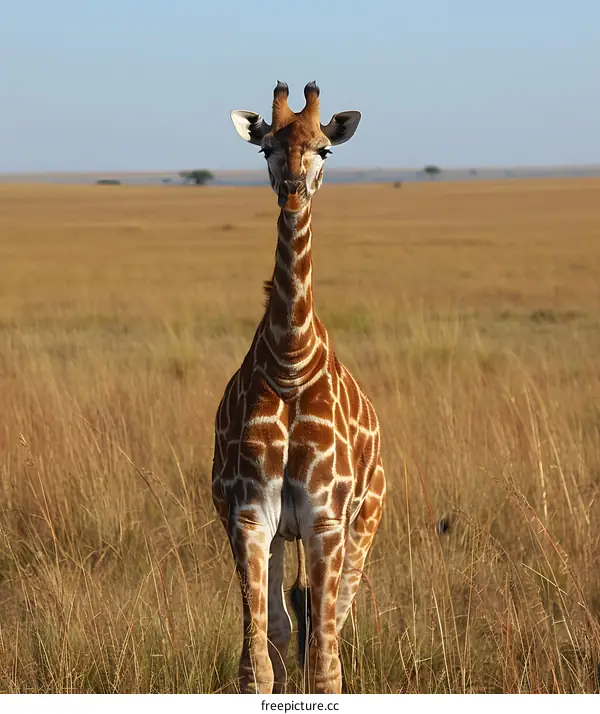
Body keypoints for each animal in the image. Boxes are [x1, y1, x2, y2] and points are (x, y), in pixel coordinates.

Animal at [211, 81, 386, 695]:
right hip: (281, 536)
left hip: (364, 521)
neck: (289, 359)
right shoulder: (248, 517)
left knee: (331, 621)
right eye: (266, 147)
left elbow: (326, 663)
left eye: (323, 149)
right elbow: (257, 662)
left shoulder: (326, 519)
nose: (292, 190)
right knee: (289, 628)